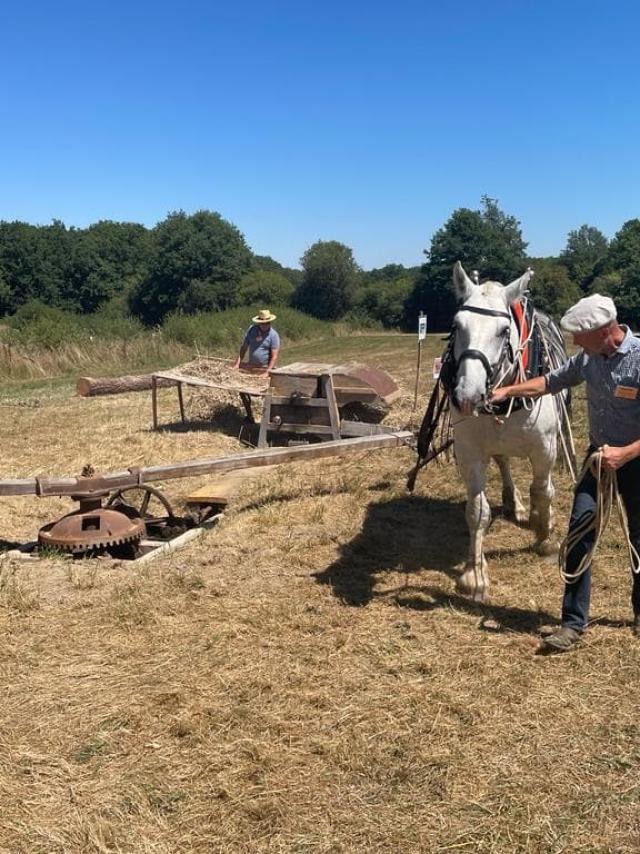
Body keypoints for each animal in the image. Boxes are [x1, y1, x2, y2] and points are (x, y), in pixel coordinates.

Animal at [448, 260, 564, 600]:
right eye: (456, 325)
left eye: (503, 331)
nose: (467, 396)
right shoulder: (470, 452)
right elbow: (477, 510)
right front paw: (475, 574)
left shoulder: (545, 449)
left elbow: (543, 490)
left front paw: (545, 535)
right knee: (504, 463)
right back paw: (515, 501)